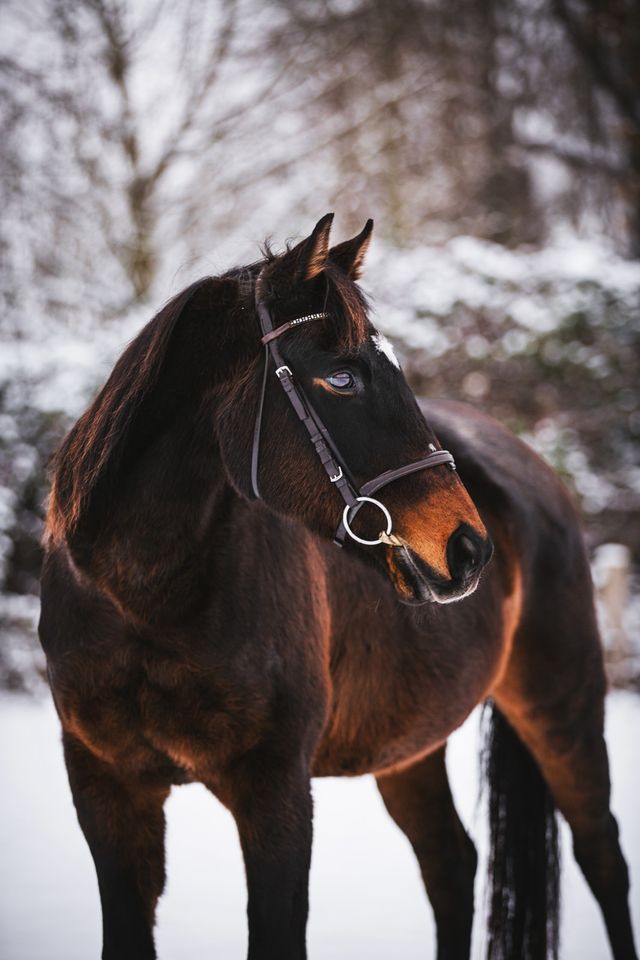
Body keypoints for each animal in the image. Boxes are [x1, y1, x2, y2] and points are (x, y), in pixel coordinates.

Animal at [38, 216, 636, 960]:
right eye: (342, 377)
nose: (470, 549)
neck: (142, 598)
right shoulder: (107, 790)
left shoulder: (277, 795)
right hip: (410, 745)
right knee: (451, 863)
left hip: (562, 708)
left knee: (602, 859)